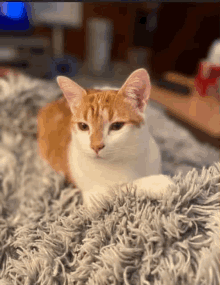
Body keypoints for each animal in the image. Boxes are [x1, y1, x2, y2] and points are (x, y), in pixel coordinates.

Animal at [37, 67, 175, 212]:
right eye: (83, 126)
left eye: (117, 126)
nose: (96, 146)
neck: (126, 156)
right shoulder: (94, 198)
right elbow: (118, 189)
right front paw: (156, 183)